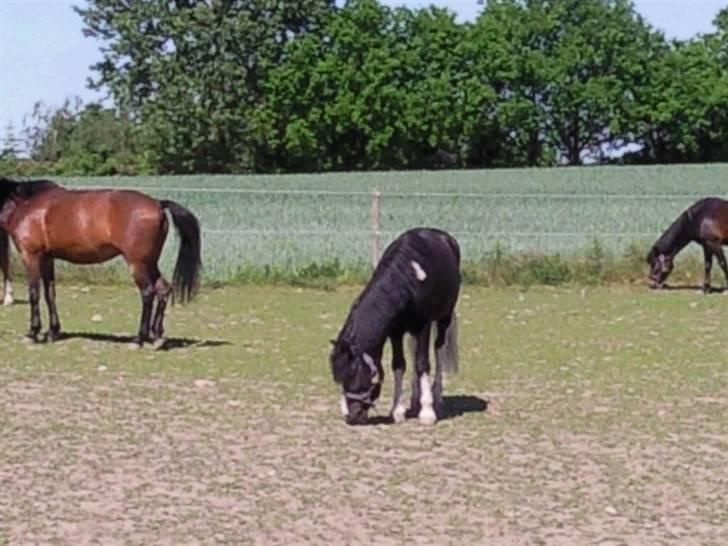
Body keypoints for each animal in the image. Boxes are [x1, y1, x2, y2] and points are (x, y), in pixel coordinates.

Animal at [0, 177, 202, 347]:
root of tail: (158, 204)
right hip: (150, 262)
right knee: (163, 289)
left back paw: (138, 339)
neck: (25, 205)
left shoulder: (31, 256)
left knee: (148, 292)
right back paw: (158, 337)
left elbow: (34, 293)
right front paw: (52, 332)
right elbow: (50, 294)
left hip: (137, 264)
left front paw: (33, 333)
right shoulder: (47, 259)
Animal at [330, 227, 460, 426]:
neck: (407, 280)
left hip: (444, 317)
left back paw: (436, 396)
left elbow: (423, 363)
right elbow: (399, 365)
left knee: (439, 349)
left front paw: (427, 413)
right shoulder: (395, 331)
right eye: (339, 377)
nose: (351, 416)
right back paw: (415, 398)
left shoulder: (423, 326)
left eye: (353, 373)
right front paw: (397, 411)